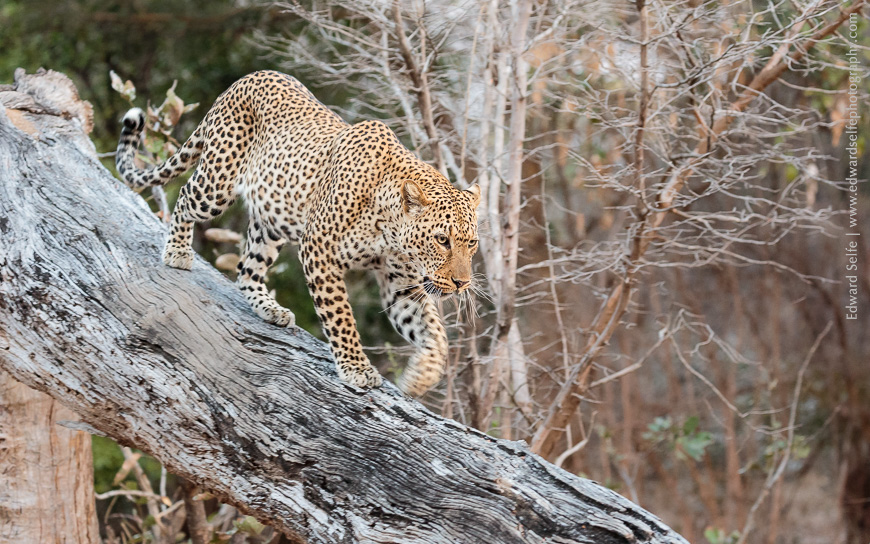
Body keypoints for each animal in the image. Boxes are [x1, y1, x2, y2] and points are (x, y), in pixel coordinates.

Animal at [115, 70, 480, 396]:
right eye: (442, 240)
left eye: (472, 243)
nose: (462, 283)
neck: (390, 231)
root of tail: (244, 79)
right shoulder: (319, 250)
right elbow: (341, 316)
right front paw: (356, 368)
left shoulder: (399, 284)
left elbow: (434, 333)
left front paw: (420, 378)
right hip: (216, 184)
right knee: (185, 196)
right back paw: (177, 251)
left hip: (271, 220)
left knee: (247, 269)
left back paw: (269, 308)